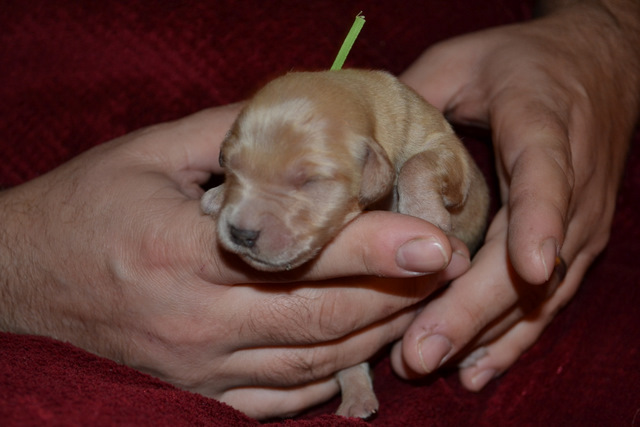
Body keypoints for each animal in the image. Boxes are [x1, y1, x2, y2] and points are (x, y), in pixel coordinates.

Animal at [201, 69, 489, 418]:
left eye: (309, 181)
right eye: (228, 167)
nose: (241, 233)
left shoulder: (445, 147)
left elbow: (418, 163)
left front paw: (425, 213)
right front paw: (217, 196)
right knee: (349, 362)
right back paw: (357, 398)